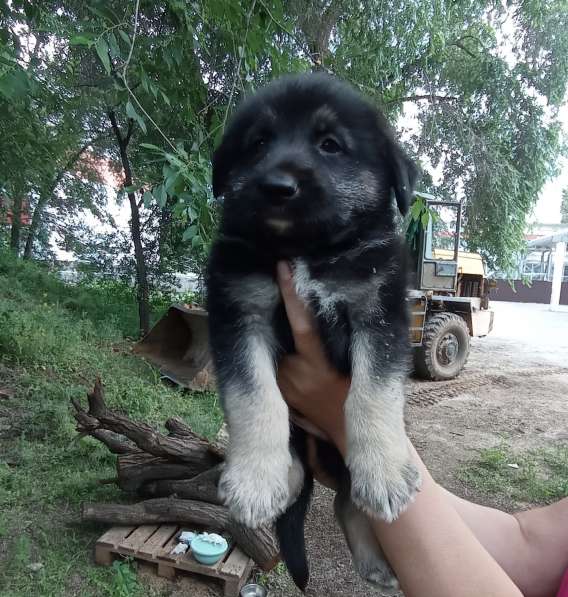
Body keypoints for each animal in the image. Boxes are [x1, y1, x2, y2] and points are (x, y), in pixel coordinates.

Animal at [206, 72, 420, 588]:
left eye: (330, 145)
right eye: (258, 142)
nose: (277, 186)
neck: (307, 250)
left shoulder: (378, 313)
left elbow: (373, 394)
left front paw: (385, 472)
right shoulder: (238, 313)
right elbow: (255, 399)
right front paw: (252, 480)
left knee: (345, 496)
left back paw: (376, 559)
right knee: (309, 476)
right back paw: (276, 484)